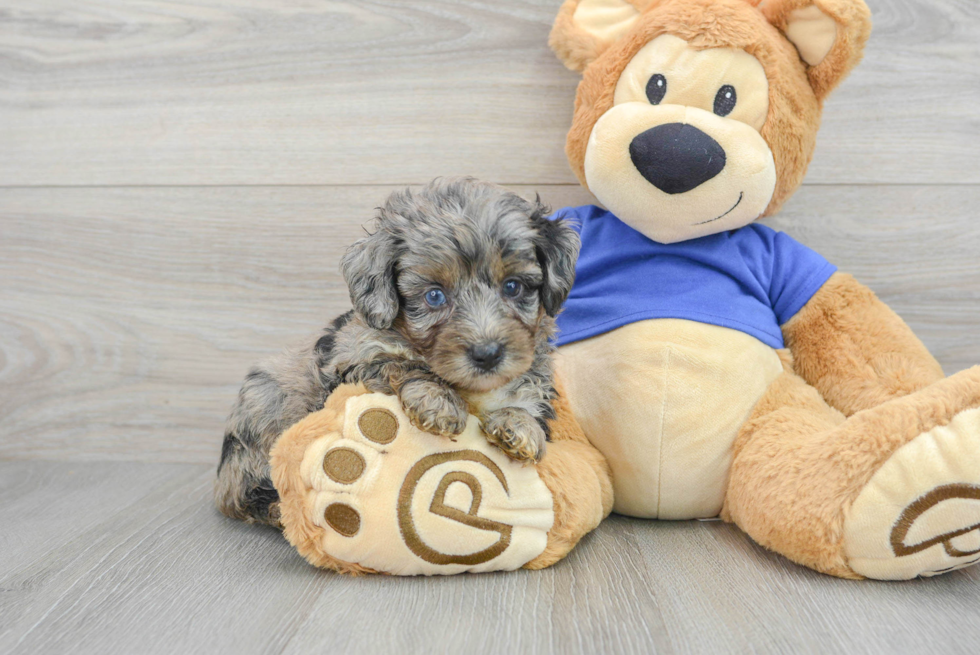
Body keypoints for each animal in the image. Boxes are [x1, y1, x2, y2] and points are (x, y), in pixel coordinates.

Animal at [216, 178, 580, 528]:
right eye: (434, 296)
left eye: (513, 287)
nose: (487, 354)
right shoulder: (355, 359)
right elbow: (402, 365)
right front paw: (439, 401)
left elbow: (525, 405)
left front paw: (519, 426)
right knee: (247, 495)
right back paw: (279, 511)